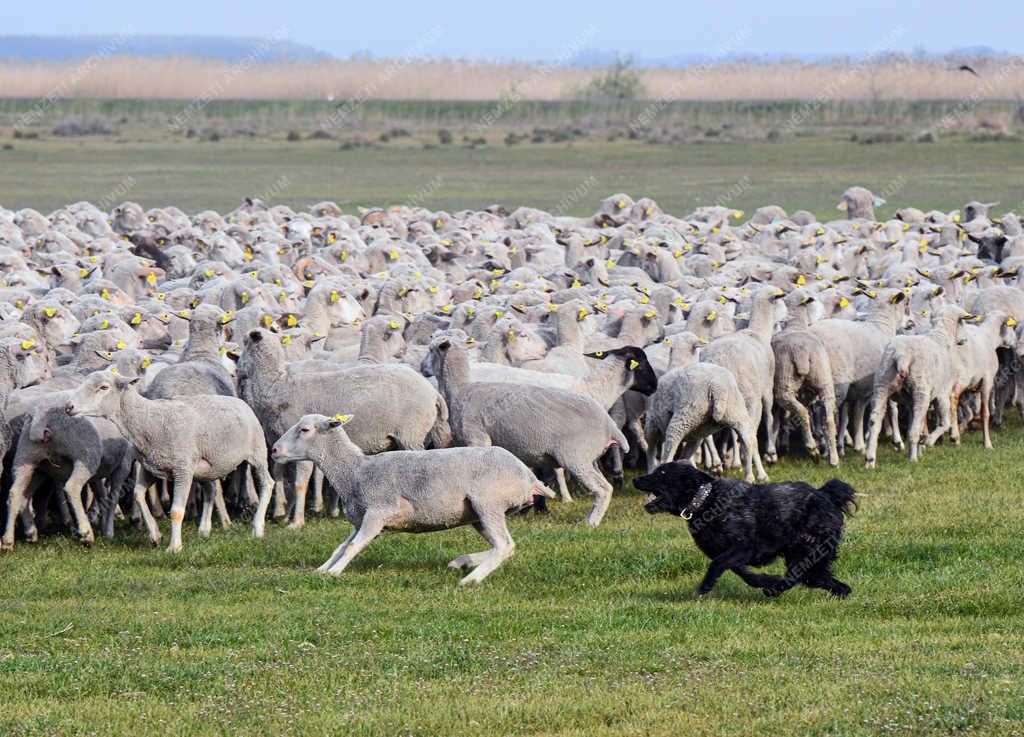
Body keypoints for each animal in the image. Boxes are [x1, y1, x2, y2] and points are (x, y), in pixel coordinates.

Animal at [66, 370, 278, 548]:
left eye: (103, 387)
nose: (69, 407)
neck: (149, 422)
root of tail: (238, 400)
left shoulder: (182, 468)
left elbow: (176, 510)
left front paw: (174, 547)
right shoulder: (150, 467)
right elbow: (138, 495)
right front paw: (155, 536)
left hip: (257, 451)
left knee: (267, 483)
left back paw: (257, 528)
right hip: (208, 466)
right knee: (210, 491)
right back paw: (204, 530)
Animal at [270, 411, 552, 585]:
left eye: (304, 429)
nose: (273, 450)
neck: (355, 471)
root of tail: (528, 476)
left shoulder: (377, 512)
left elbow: (351, 547)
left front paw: (334, 572)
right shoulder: (360, 520)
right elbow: (339, 547)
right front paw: (322, 569)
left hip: (488, 502)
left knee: (504, 545)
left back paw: (470, 579)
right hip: (476, 515)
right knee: (502, 546)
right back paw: (461, 562)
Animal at [428, 337, 626, 528]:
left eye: (431, 349)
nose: (423, 369)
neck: (462, 389)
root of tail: (609, 425)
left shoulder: (477, 438)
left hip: (575, 456)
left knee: (603, 489)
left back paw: (591, 522)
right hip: (588, 457)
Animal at [634, 462, 860, 597]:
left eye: (662, 472)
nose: (635, 479)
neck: (706, 500)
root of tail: (826, 494)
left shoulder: (744, 547)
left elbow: (716, 565)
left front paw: (705, 587)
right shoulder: (730, 553)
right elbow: (743, 573)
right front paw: (765, 579)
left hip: (805, 548)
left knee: (796, 575)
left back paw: (775, 590)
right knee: (818, 578)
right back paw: (841, 591)